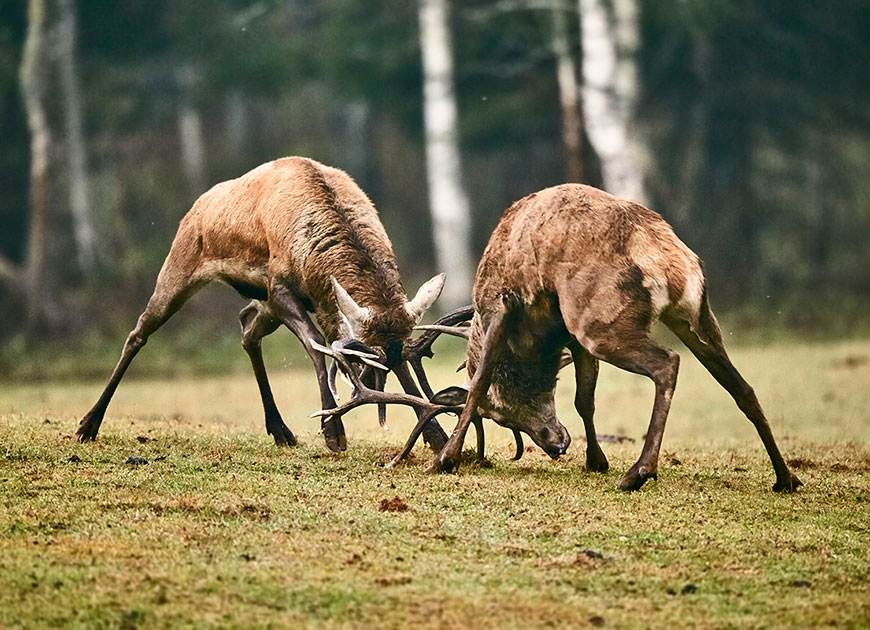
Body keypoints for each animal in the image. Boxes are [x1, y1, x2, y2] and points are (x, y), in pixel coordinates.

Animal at [76, 158, 454, 454]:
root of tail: (197, 205)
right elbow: (316, 346)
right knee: (139, 331)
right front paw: (333, 432)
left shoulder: (298, 300)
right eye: (364, 363)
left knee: (246, 327)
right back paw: (88, 424)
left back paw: (280, 429)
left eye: (395, 358)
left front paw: (437, 436)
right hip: (180, 267)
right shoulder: (278, 286)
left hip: (261, 305)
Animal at [318, 183, 804, 494]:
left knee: (668, 363)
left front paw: (446, 457)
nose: (556, 445)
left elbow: (478, 382)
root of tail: (670, 262)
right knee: (742, 387)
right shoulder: (568, 335)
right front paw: (595, 459)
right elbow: (584, 397)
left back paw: (640, 472)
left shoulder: (504, 308)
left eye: (501, 416)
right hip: (696, 316)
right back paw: (785, 478)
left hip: (601, 320)